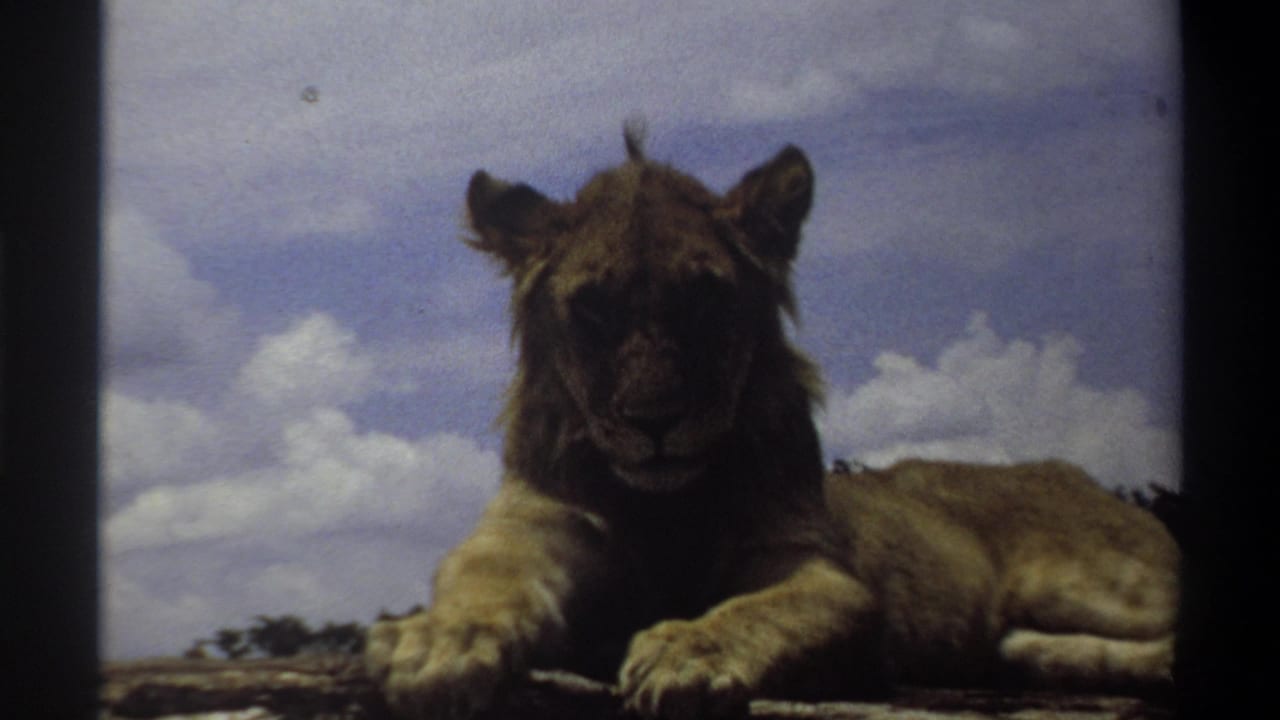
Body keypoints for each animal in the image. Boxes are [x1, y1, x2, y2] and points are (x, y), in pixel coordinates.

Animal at [364, 129, 1179, 719]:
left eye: (705, 298)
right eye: (593, 308)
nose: (655, 423)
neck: (662, 506)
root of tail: (1070, 471)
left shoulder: (817, 569)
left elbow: (767, 608)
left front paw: (689, 652)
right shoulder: (531, 528)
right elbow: (483, 580)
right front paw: (435, 641)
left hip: (1097, 579)